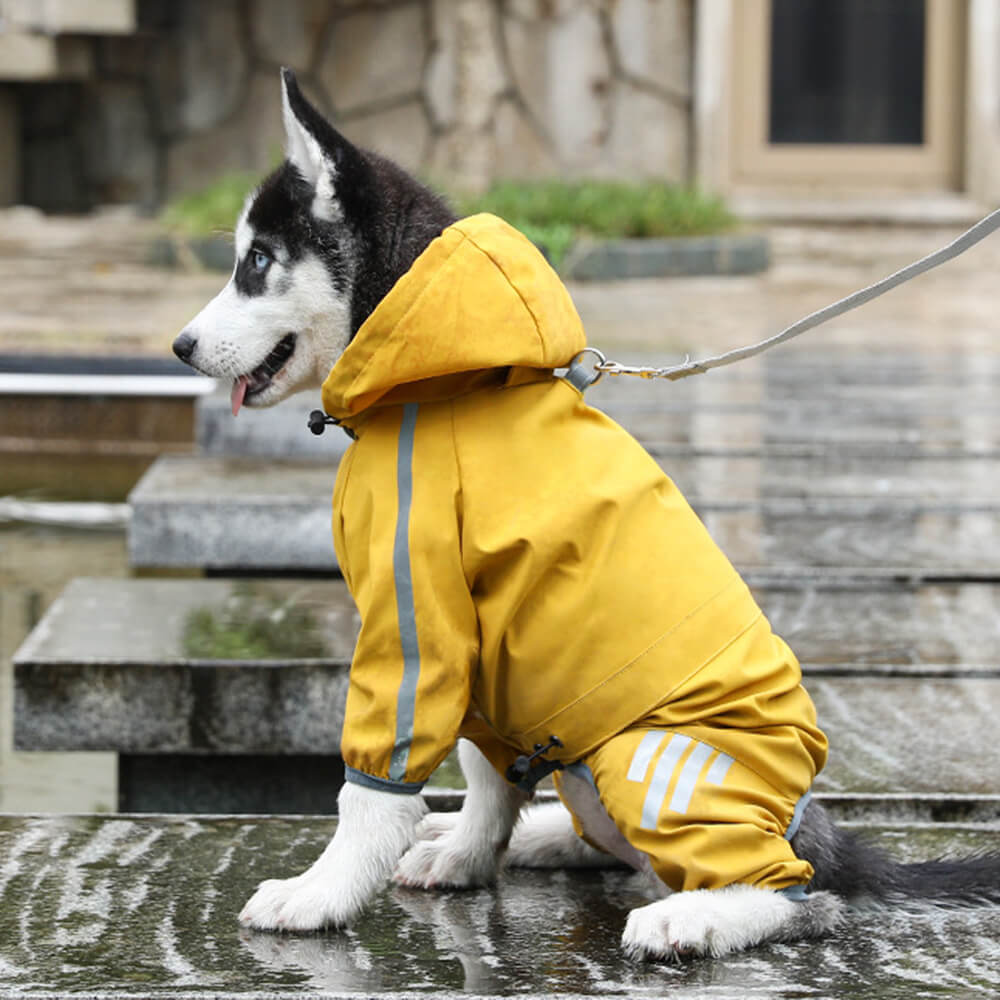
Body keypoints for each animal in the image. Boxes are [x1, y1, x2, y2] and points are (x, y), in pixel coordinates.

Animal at [176, 70, 1000, 960]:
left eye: (258, 261)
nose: (180, 347)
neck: (439, 377)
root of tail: (813, 829)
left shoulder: (417, 619)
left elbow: (374, 790)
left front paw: (321, 893)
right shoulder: (483, 649)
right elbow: (484, 773)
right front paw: (470, 853)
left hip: (658, 757)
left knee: (798, 894)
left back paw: (698, 914)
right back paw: (546, 835)